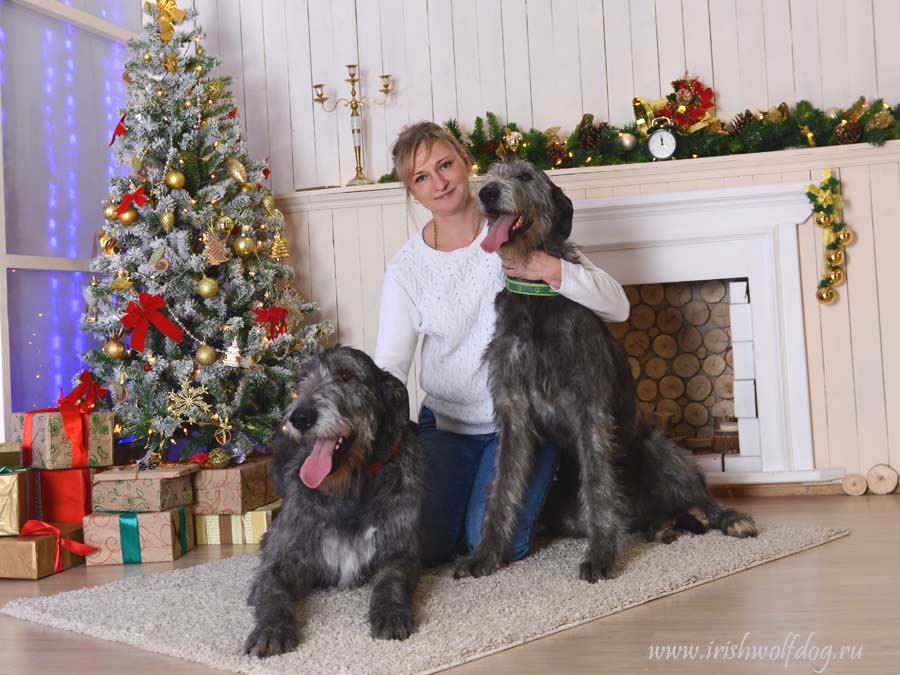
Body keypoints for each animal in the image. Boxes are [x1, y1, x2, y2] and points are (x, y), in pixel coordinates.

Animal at [239, 346, 422, 656]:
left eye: (346, 375)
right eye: (303, 377)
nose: (300, 417)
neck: (349, 486)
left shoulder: (401, 551)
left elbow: (391, 579)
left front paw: (390, 612)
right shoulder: (281, 558)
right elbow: (271, 590)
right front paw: (272, 628)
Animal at [454, 158, 756, 588]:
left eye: (526, 176)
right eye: (492, 172)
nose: (488, 192)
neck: (536, 298)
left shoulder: (590, 409)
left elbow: (599, 486)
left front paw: (600, 557)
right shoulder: (514, 414)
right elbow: (501, 490)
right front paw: (486, 554)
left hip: (659, 450)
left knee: (698, 496)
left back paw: (727, 519)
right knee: (646, 516)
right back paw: (660, 528)